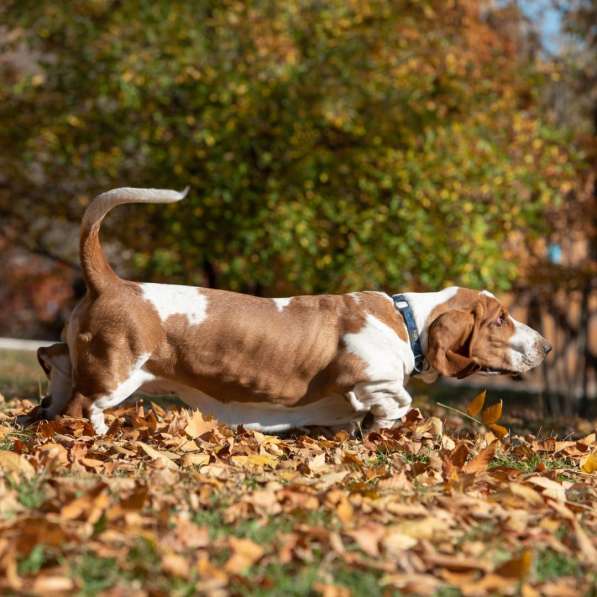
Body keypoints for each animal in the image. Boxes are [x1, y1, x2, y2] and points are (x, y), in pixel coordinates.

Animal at [17, 189, 548, 436]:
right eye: (500, 319)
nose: (545, 345)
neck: (407, 318)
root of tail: (111, 281)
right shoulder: (371, 380)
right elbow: (399, 401)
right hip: (119, 374)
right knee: (84, 405)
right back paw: (96, 429)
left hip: (83, 359)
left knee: (53, 359)